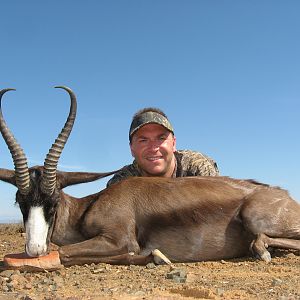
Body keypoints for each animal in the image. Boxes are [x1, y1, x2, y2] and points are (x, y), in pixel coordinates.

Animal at [0, 88, 300, 266]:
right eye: (20, 202)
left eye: (52, 201)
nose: (35, 248)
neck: (89, 207)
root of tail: (285, 196)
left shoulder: (118, 239)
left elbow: (64, 253)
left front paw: (156, 256)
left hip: (255, 218)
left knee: (261, 240)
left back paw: (261, 251)